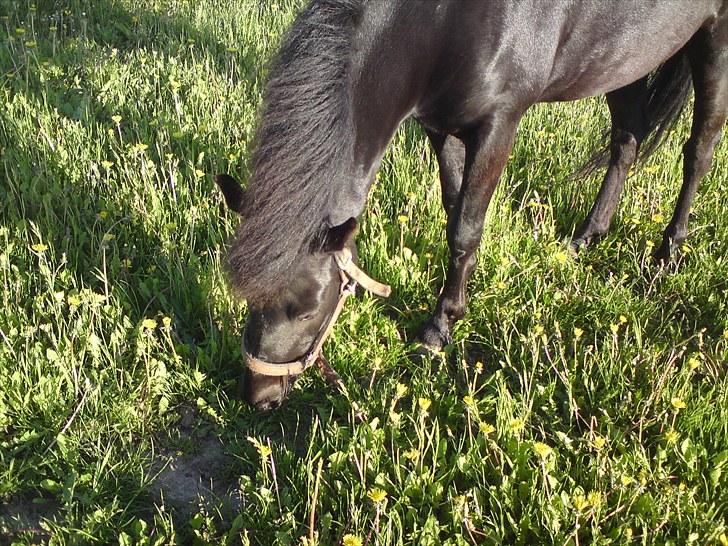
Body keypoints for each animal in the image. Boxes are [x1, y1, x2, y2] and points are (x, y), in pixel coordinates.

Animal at [219, 0, 728, 408]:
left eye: (307, 309)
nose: (258, 396)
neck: (444, 20)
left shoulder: (499, 125)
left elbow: (467, 226)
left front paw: (439, 327)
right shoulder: (440, 125)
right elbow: (453, 207)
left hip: (713, 42)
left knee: (698, 151)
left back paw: (669, 251)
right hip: (624, 57)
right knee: (627, 140)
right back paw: (588, 236)